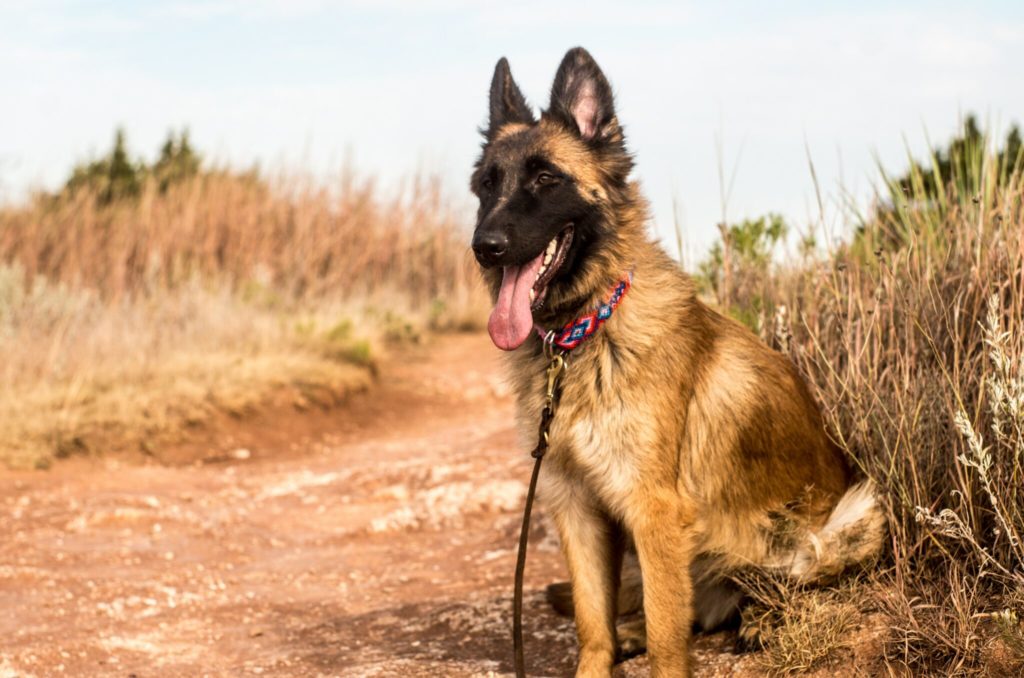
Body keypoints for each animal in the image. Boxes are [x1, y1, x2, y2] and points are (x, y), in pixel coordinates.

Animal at [468, 46, 884, 675]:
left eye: (545, 178)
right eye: (487, 185)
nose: (484, 246)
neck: (585, 334)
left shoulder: (652, 511)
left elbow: (669, 642)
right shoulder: (576, 506)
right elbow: (592, 619)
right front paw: (603, 655)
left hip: (851, 520)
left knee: (777, 587)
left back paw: (764, 618)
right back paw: (635, 631)